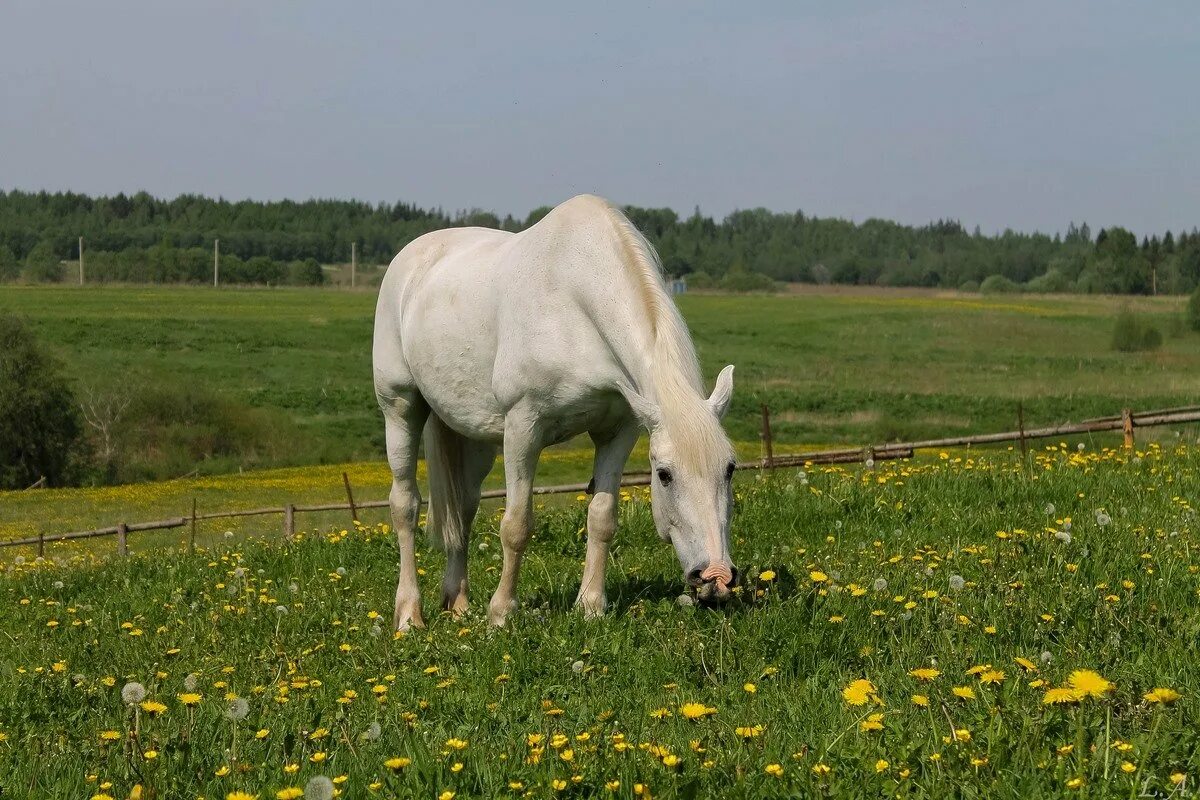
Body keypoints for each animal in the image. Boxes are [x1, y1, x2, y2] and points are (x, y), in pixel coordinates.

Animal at [372, 195, 739, 633]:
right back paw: (410, 615)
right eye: (664, 475)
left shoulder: (619, 430)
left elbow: (602, 517)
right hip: (401, 408)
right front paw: (501, 614)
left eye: (730, 469)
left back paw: (458, 604)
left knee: (463, 508)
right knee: (405, 505)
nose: (716, 577)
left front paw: (591, 606)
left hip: (474, 436)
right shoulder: (523, 427)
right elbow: (516, 525)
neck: (575, 302)